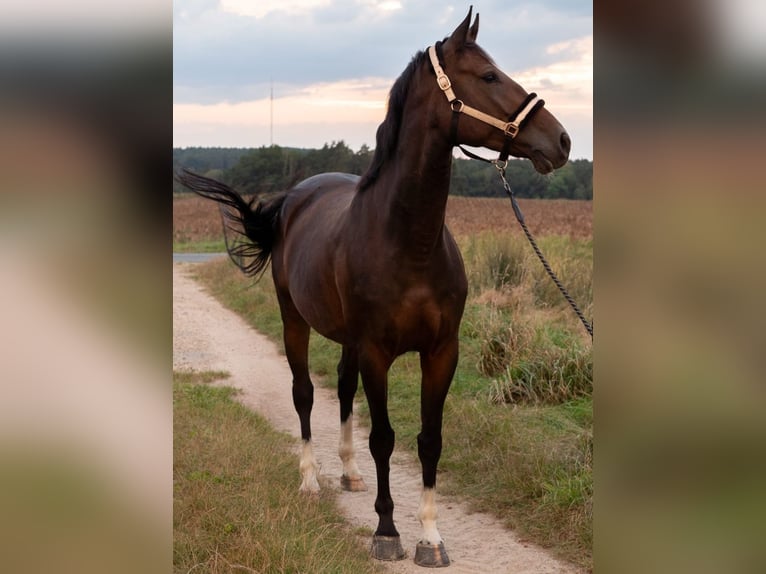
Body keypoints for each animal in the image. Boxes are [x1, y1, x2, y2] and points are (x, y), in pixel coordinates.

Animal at [177, 6, 568, 568]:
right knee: (304, 394)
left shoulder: (441, 352)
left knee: (342, 389)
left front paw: (431, 537)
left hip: (347, 341)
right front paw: (387, 532)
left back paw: (348, 473)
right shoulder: (377, 353)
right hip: (295, 320)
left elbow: (429, 440)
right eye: (489, 76)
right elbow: (383, 437)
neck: (409, 243)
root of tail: (295, 196)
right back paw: (311, 480)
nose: (562, 141)